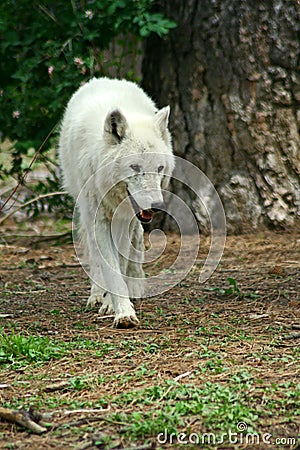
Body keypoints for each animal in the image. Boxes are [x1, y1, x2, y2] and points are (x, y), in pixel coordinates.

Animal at [58, 78, 175, 326]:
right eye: (135, 167)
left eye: (159, 168)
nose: (157, 206)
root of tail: (105, 79)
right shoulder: (99, 220)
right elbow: (109, 266)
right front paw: (121, 311)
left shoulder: (124, 220)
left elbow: (120, 262)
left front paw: (116, 304)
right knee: (94, 252)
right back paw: (96, 294)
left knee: (136, 240)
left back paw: (135, 286)